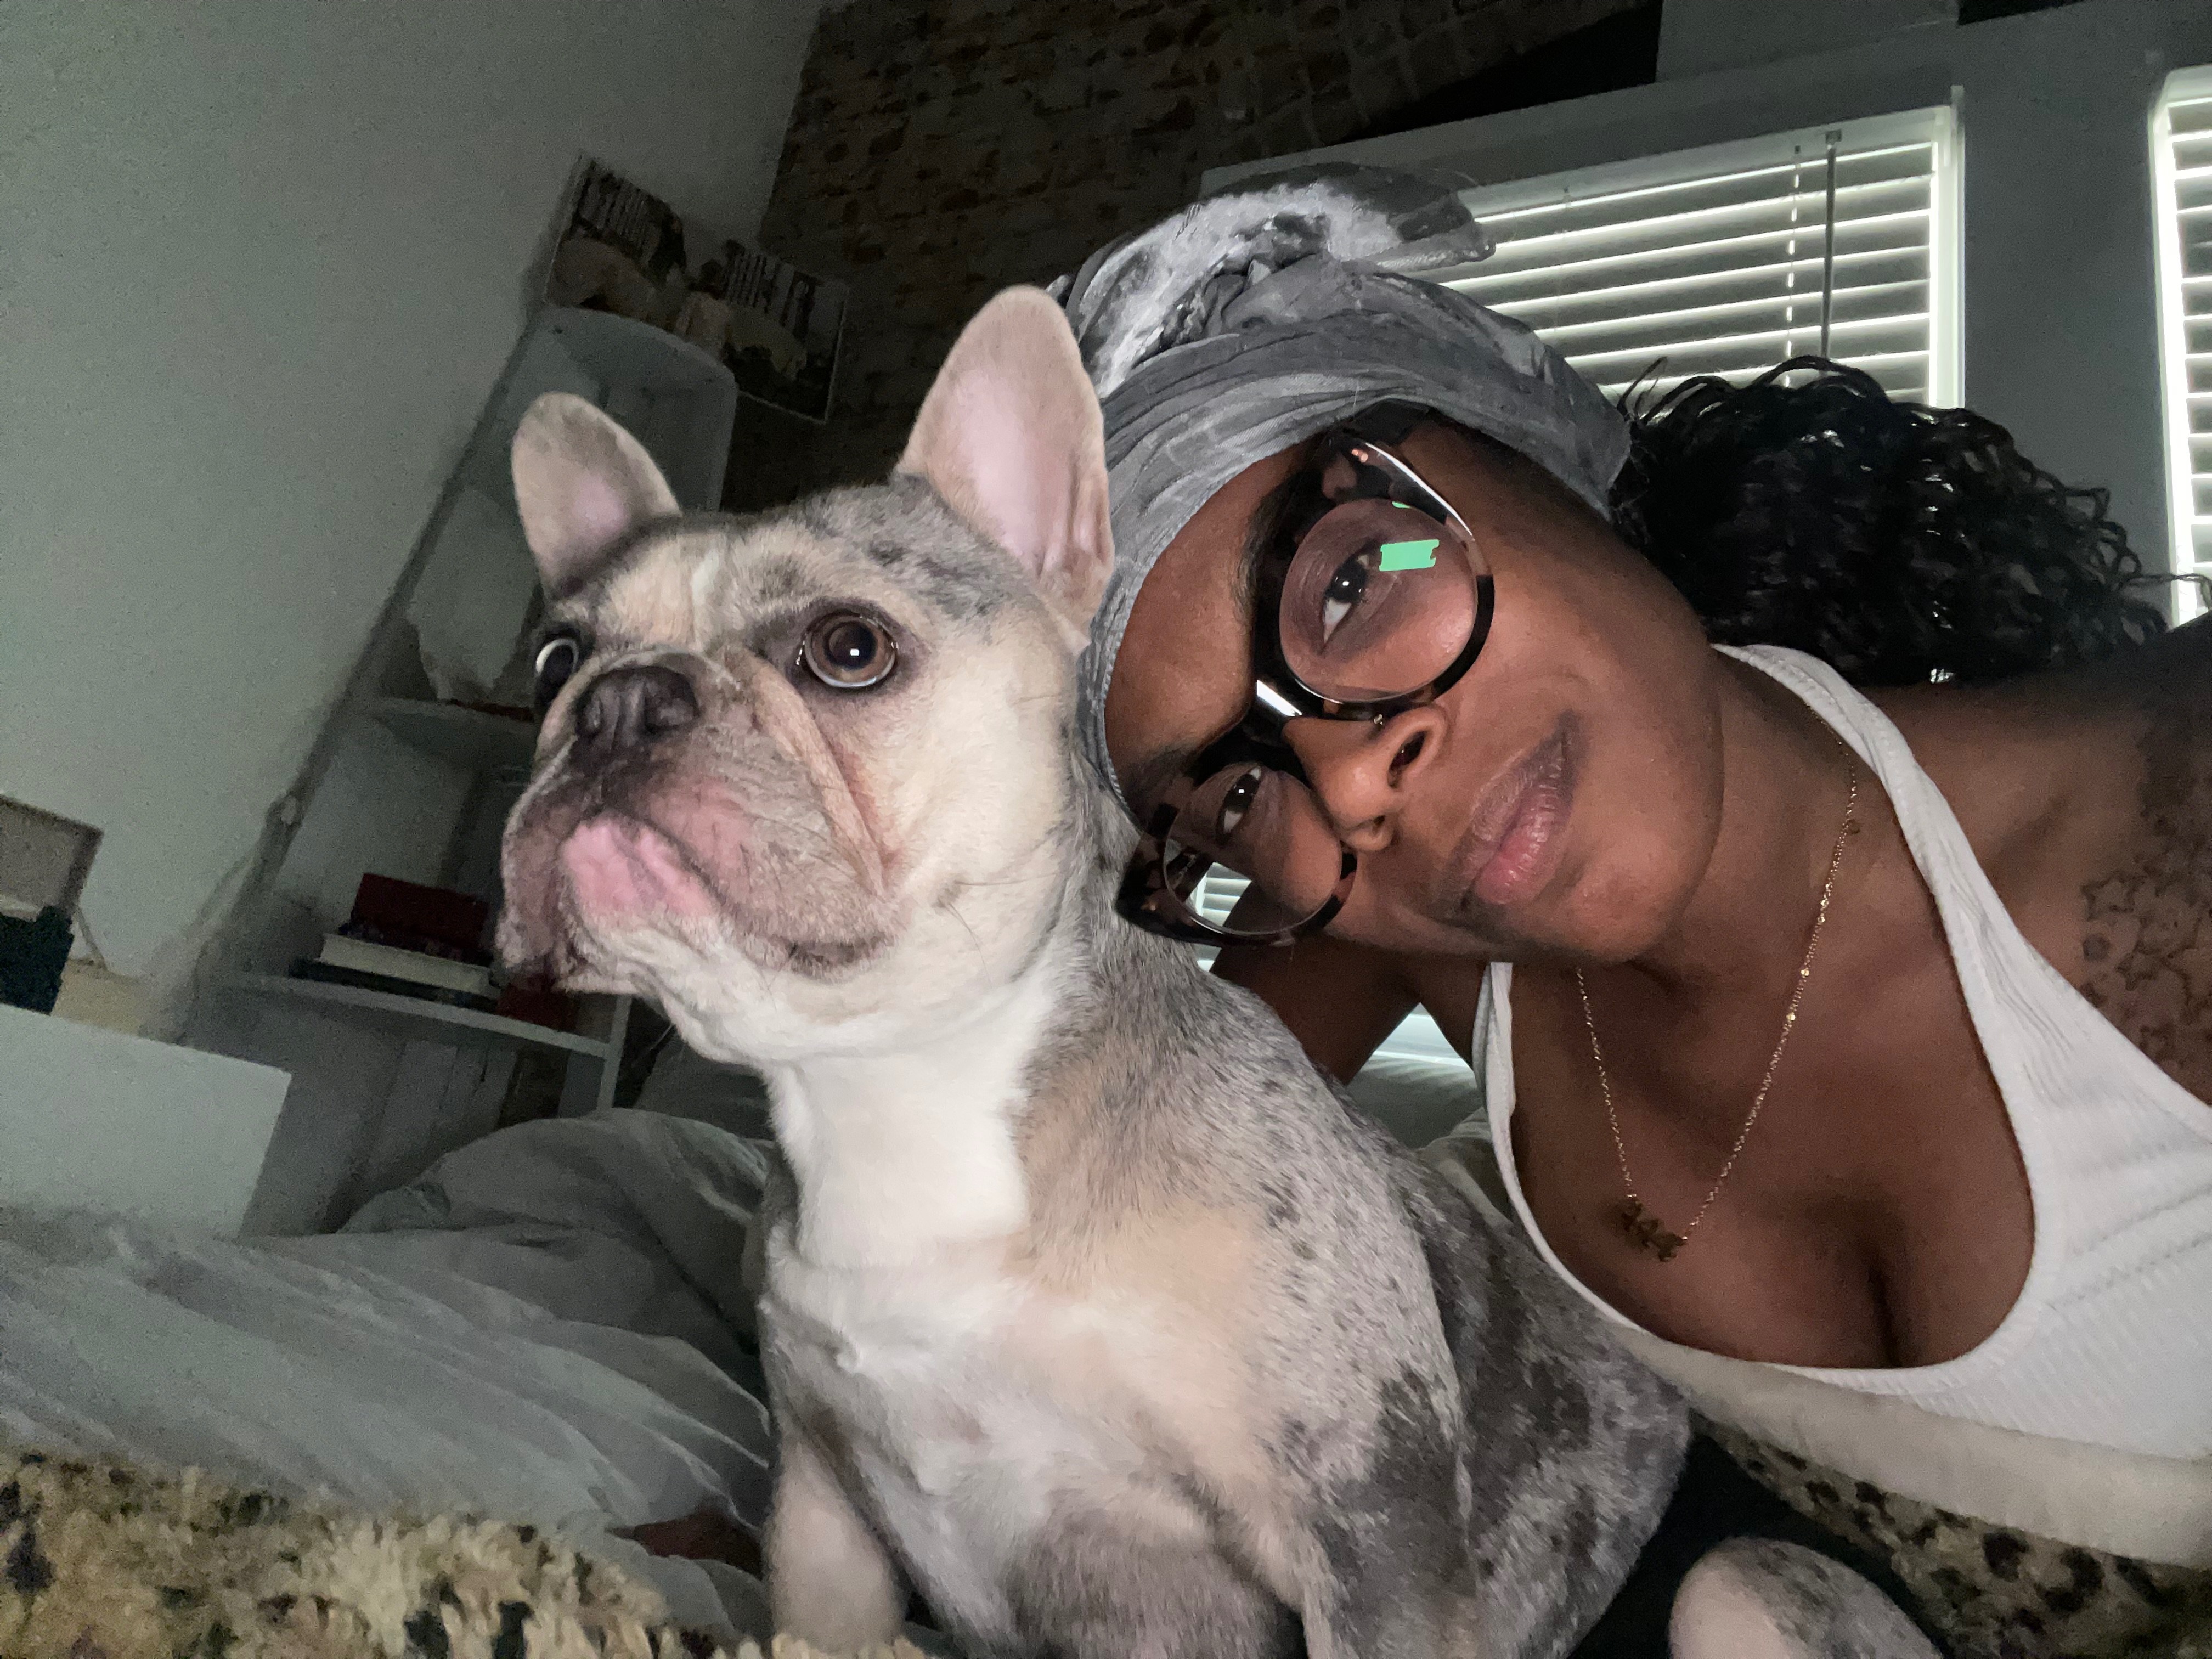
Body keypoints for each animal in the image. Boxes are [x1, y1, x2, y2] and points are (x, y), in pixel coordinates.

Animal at [497, 288, 1936, 1659]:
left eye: (849, 651)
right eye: (556, 660)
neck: (902, 1091)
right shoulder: (825, 1529)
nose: (620, 704)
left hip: (1738, 1594)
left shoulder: (1369, 1531)